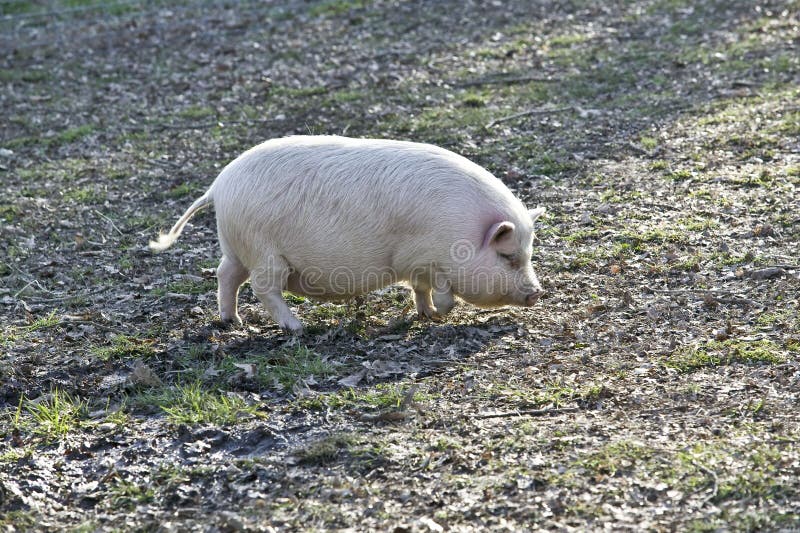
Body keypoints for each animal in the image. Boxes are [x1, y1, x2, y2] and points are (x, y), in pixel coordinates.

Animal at [150, 136, 546, 334]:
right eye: (508, 256)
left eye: (528, 253)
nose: (537, 293)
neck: (462, 233)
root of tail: (218, 186)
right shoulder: (426, 257)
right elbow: (442, 291)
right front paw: (441, 311)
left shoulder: (415, 263)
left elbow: (420, 289)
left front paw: (428, 314)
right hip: (265, 253)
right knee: (263, 289)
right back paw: (297, 327)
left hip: (238, 247)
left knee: (225, 275)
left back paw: (233, 321)